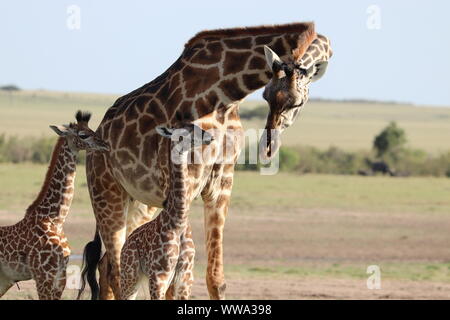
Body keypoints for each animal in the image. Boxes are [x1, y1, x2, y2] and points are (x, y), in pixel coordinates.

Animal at [0, 111, 109, 298]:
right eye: (83, 135)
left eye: (91, 129)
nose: (106, 145)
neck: (55, 219)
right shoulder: (43, 275)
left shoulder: (60, 276)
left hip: (3, 279)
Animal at [118, 122, 212, 300]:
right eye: (184, 131)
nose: (210, 137)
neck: (179, 221)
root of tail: (126, 243)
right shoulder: (159, 274)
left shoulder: (185, 275)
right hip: (130, 273)